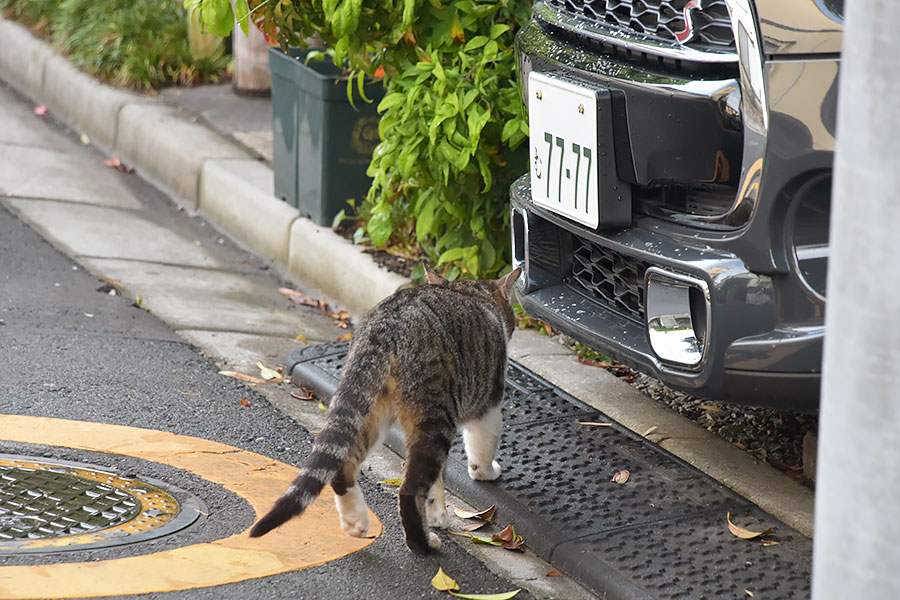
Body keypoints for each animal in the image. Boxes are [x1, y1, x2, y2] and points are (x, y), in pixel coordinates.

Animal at [250, 266, 524, 552]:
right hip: (434, 414)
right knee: (409, 489)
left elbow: (438, 481)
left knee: (343, 465)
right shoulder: (488, 401)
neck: (472, 291)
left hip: (371, 406)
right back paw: (423, 544)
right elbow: (482, 446)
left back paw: (355, 521)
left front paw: (436, 514)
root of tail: (385, 327)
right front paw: (486, 473)